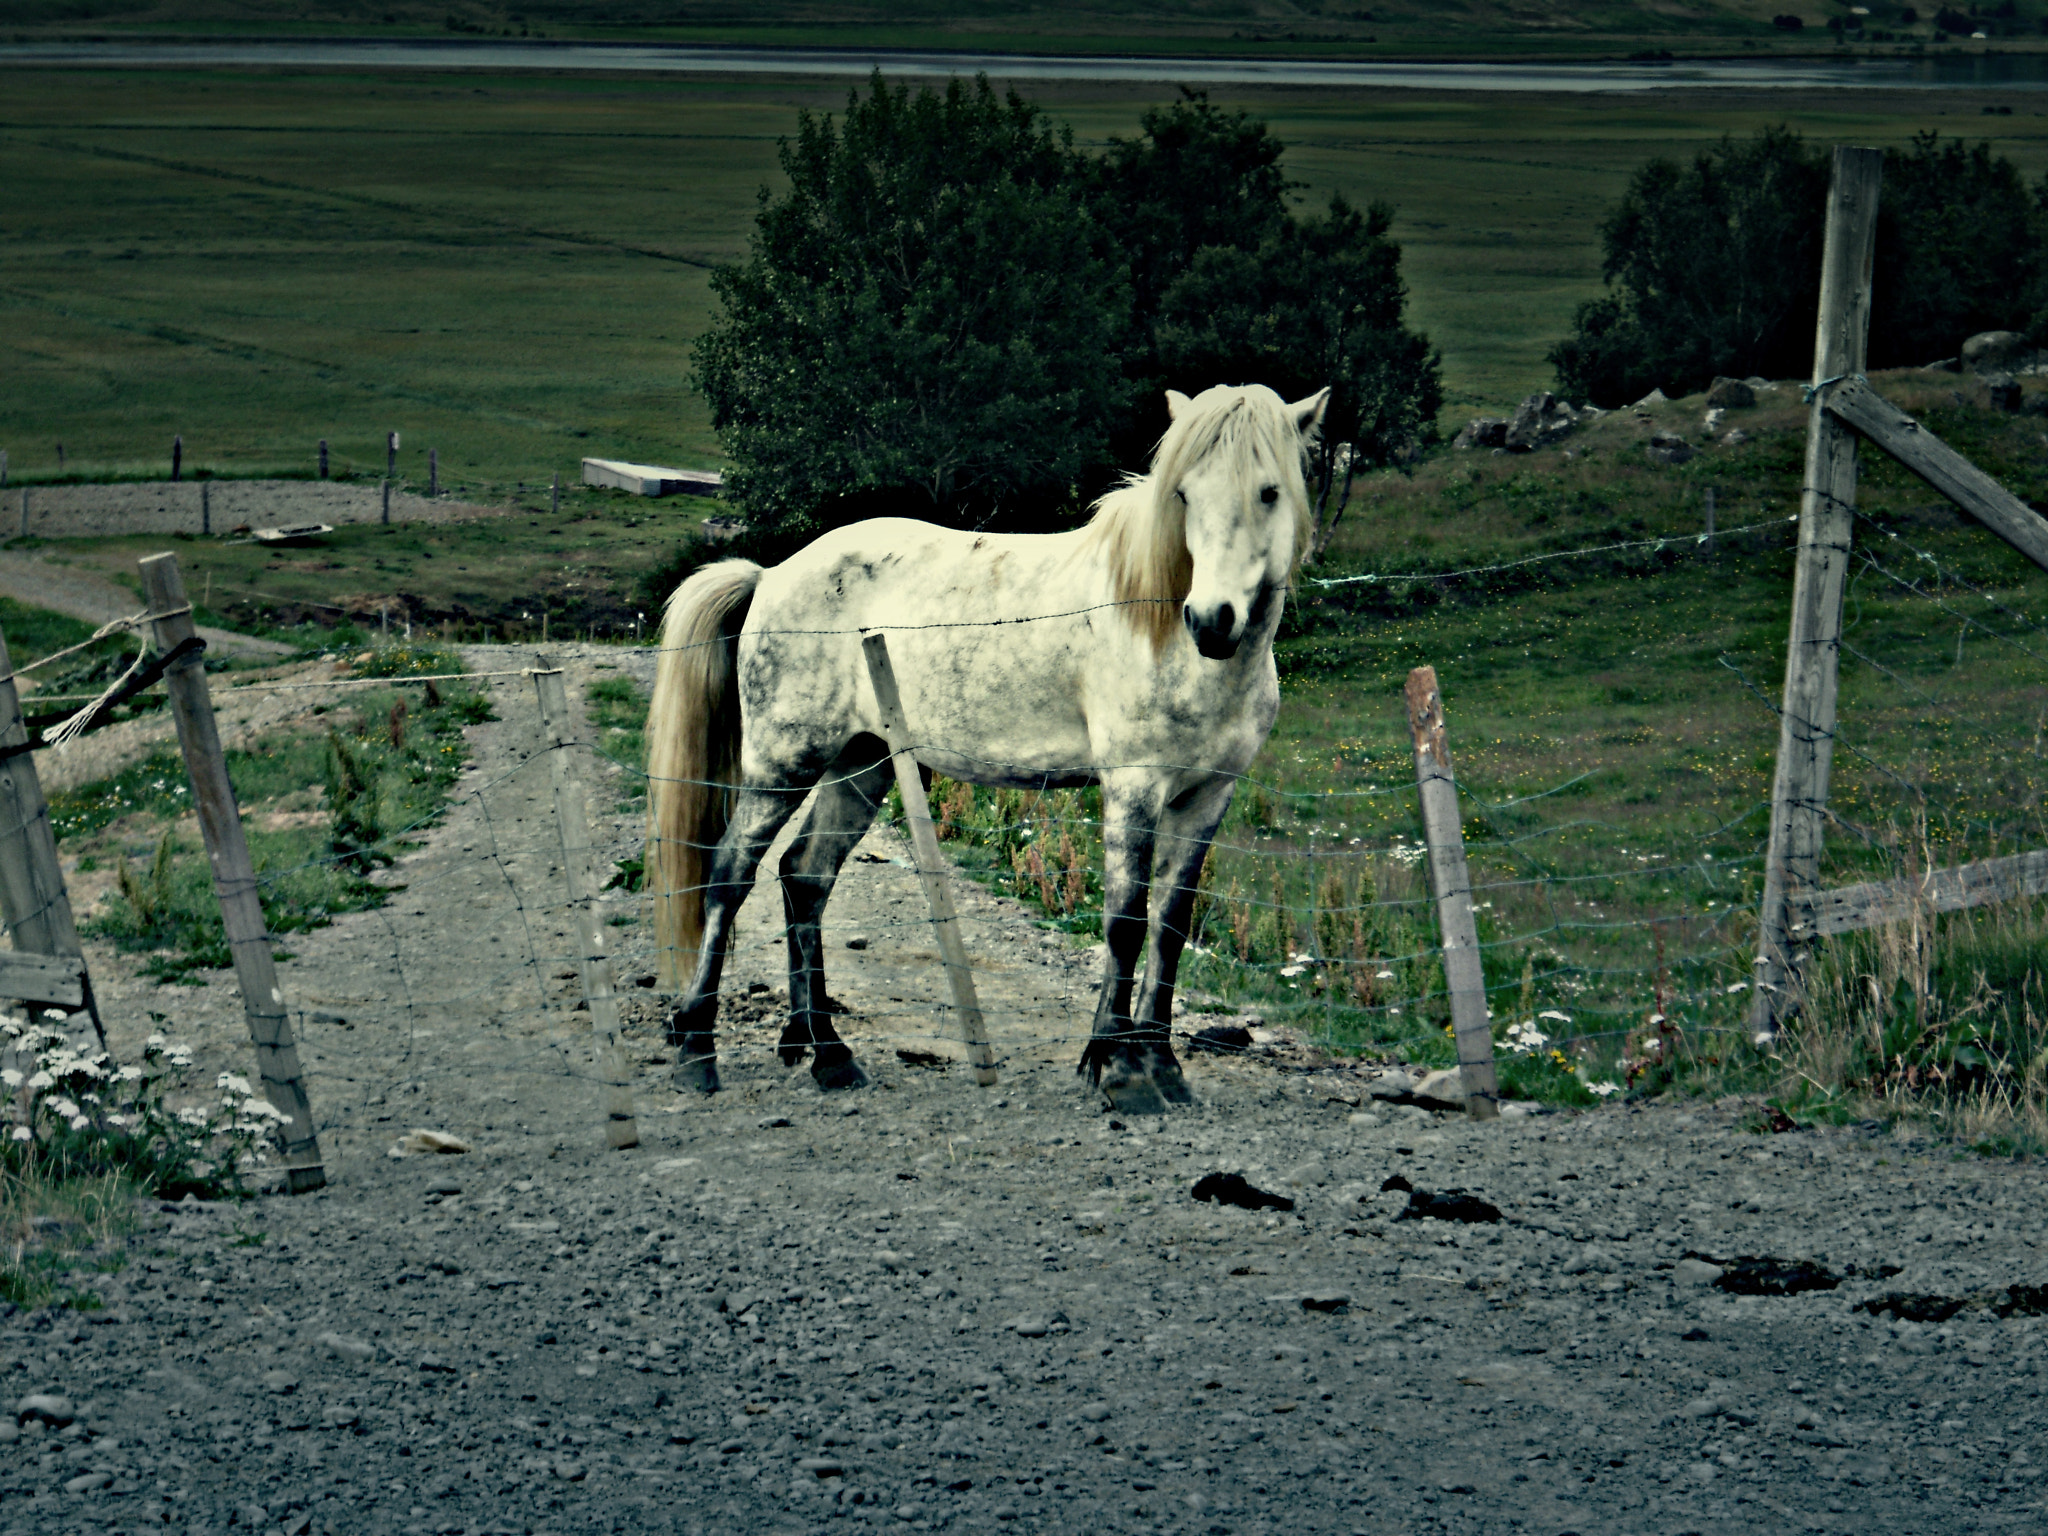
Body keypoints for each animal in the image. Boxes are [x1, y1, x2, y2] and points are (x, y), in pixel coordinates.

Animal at [647, 380, 1335, 1114]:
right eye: (1183, 494)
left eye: (1269, 491)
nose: (1211, 621)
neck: (1166, 635)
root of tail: (772, 574)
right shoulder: (1134, 787)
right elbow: (1124, 921)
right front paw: (1121, 1071)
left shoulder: (1207, 796)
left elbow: (1170, 926)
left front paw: (1159, 1063)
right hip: (785, 763)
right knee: (729, 875)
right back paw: (698, 1047)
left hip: (860, 765)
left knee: (805, 877)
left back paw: (827, 1053)